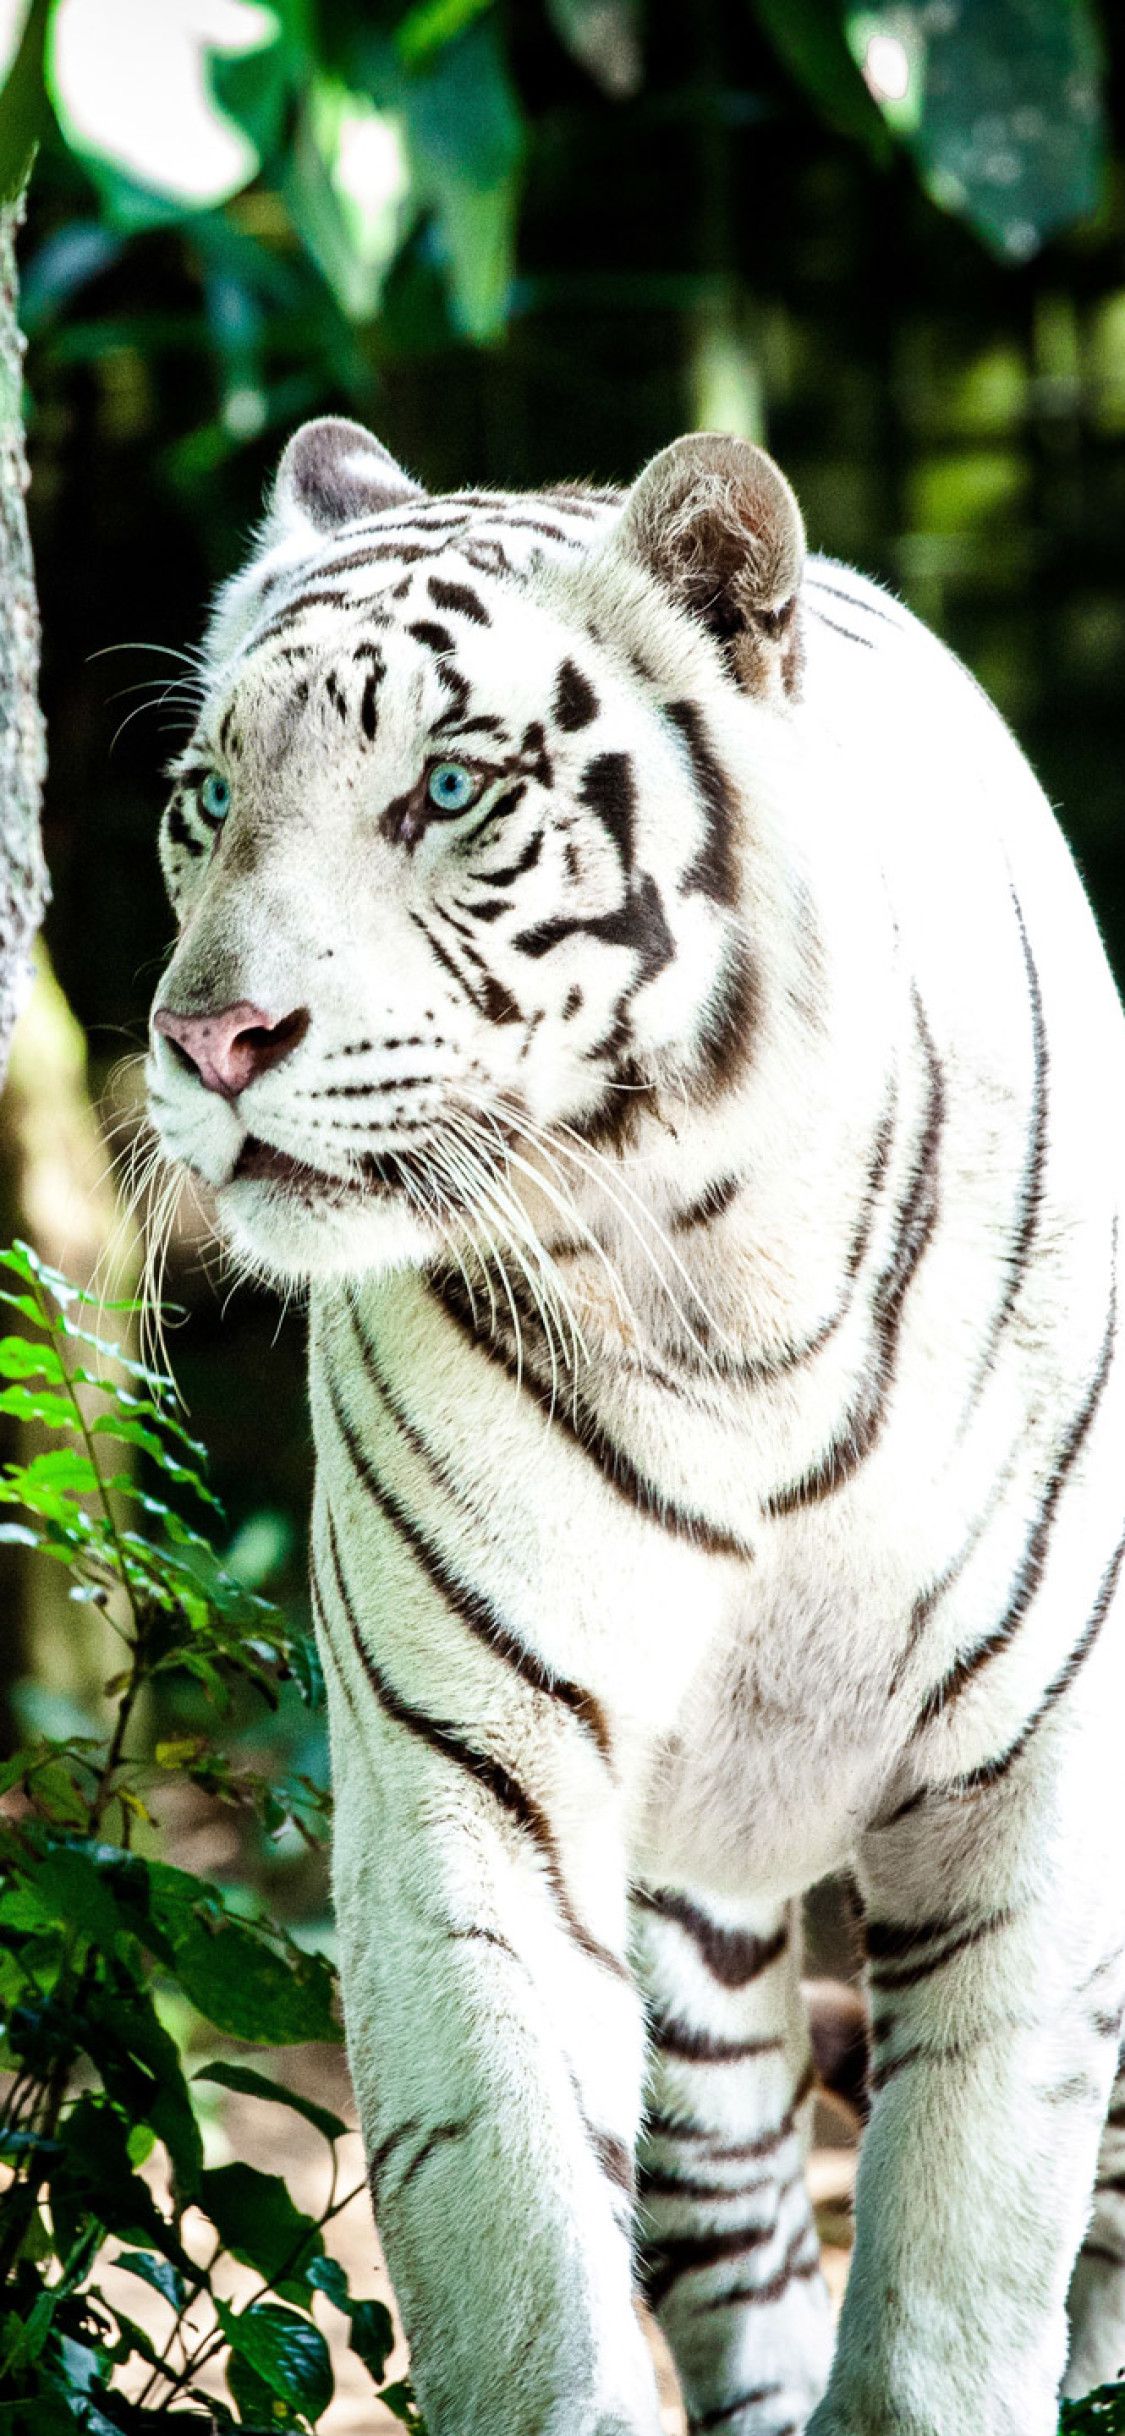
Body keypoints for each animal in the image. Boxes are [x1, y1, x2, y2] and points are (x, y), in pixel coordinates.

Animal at [146, 412, 1125, 2436]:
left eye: (446, 788)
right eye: (207, 796)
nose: (207, 1042)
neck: (719, 1278)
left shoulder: (1029, 1776)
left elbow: (961, 2279)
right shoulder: (472, 1774)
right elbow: (521, 2259)